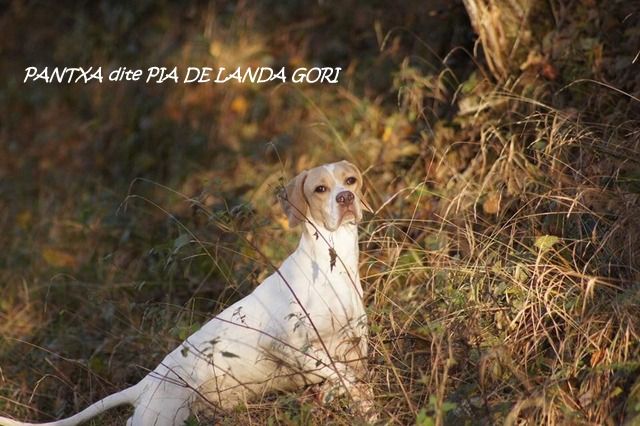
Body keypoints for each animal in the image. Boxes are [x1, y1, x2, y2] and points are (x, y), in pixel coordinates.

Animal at [1, 161, 376, 426]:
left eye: (351, 180)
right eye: (320, 188)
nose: (345, 198)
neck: (332, 261)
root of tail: (145, 384)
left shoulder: (354, 346)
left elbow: (351, 379)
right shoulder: (291, 346)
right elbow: (339, 373)